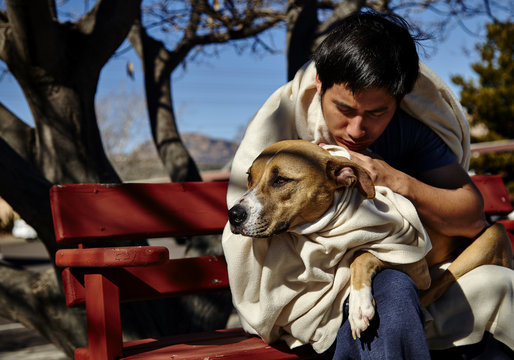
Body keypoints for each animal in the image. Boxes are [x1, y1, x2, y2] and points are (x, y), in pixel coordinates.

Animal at [228, 140, 512, 340]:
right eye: (249, 177)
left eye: (281, 180)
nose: (234, 214)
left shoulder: (414, 261)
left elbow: (362, 254)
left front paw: (358, 306)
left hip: (493, 234)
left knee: (438, 285)